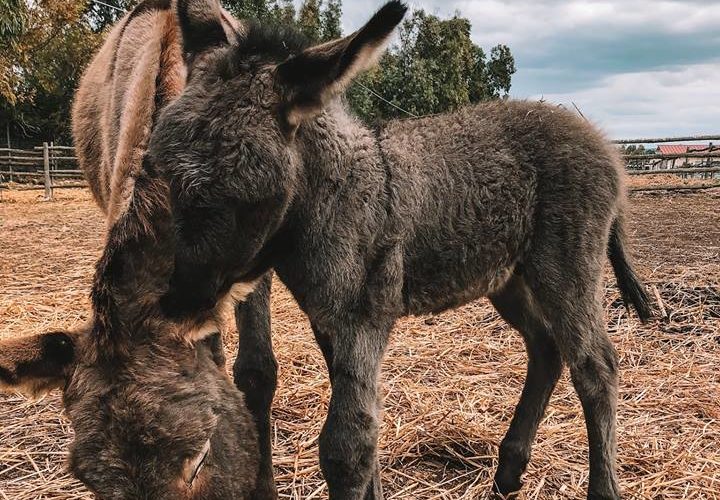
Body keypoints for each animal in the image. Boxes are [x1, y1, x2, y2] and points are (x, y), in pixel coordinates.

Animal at [153, 1, 652, 498]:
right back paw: (509, 472)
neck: (333, 196)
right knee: (546, 348)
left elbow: (346, 449)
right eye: (165, 172)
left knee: (596, 366)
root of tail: (601, 142)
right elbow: (365, 431)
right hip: (507, 275)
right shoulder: (328, 321)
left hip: (566, 265)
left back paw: (600, 485)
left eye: (249, 194)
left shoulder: (362, 318)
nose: (175, 302)